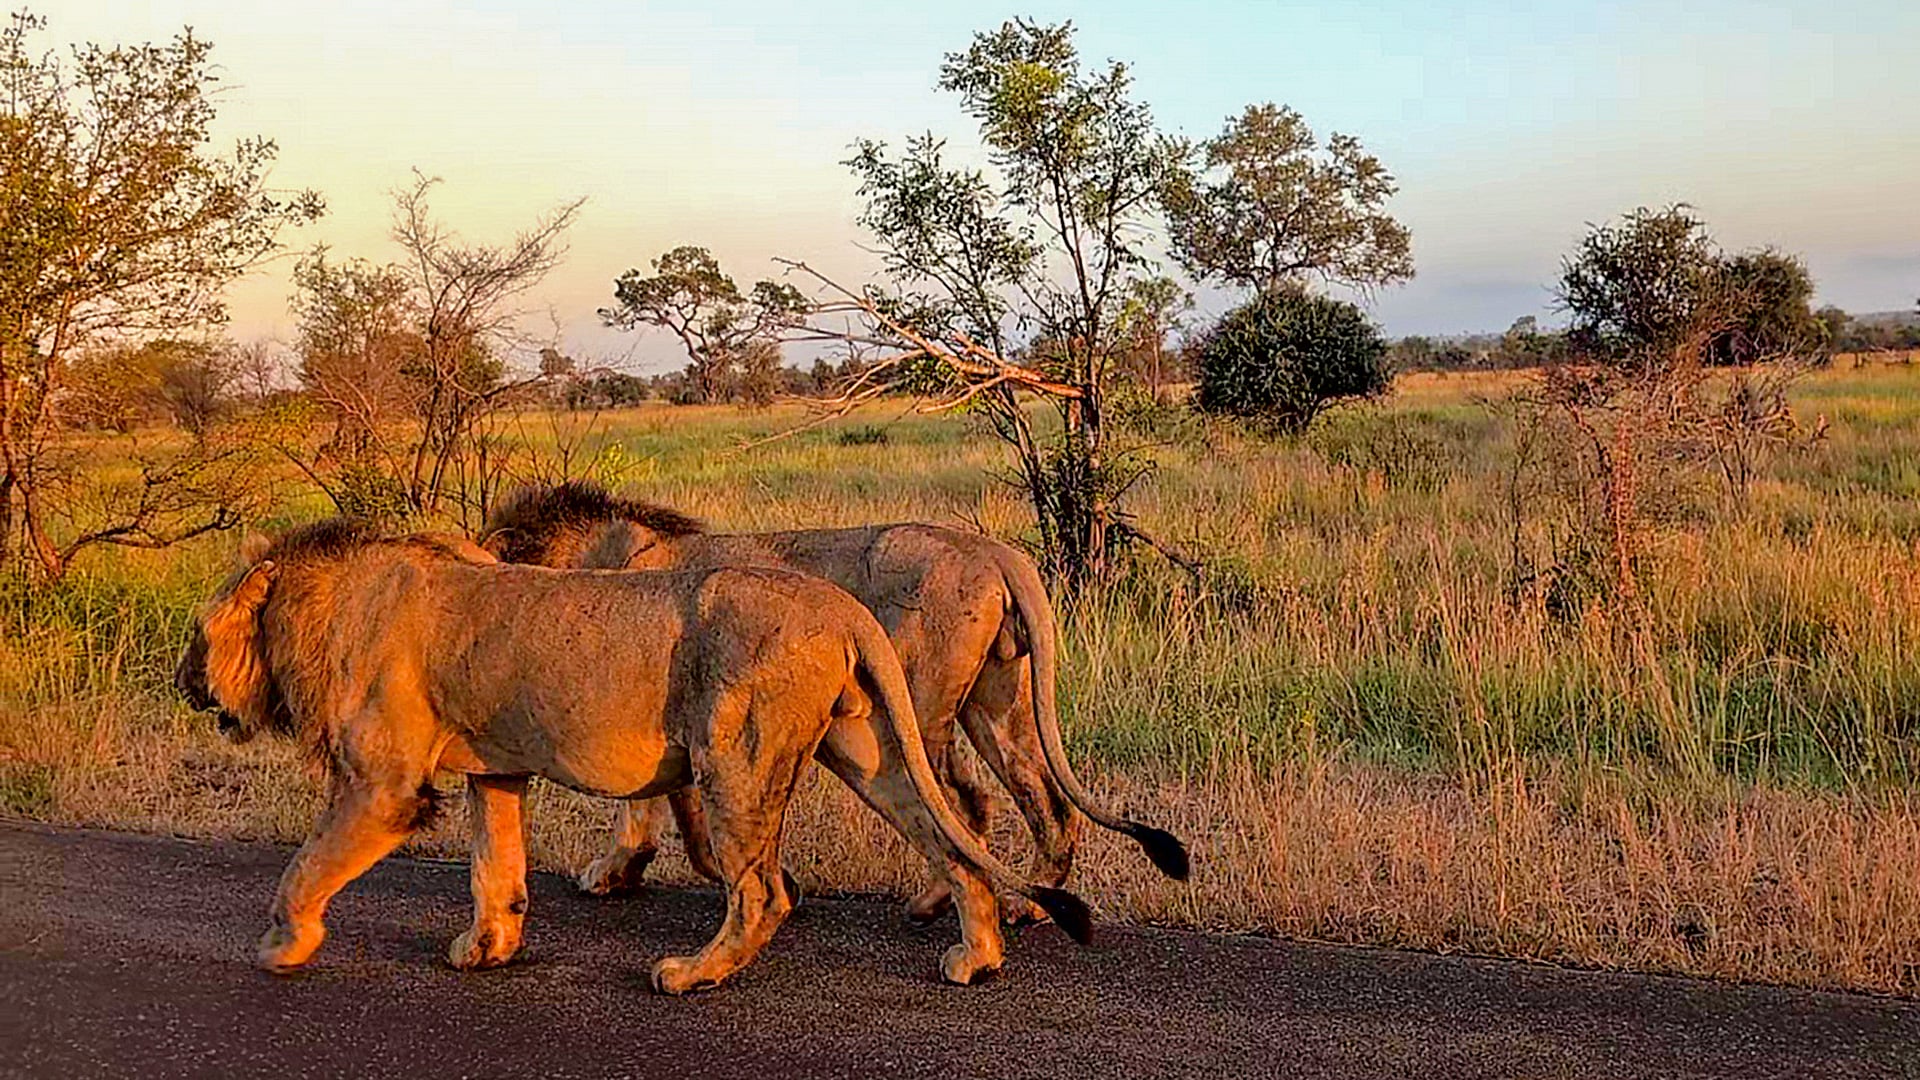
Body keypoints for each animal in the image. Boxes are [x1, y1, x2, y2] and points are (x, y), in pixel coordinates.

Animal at [173, 519, 1090, 993]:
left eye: (194, 636)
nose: (180, 683)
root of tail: (839, 606)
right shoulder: (495, 770)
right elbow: (494, 868)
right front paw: (488, 948)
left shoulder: (383, 786)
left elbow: (303, 867)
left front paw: (281, 945)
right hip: (870, 751)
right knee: (957, 839)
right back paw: (977, 953)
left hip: (739, 754)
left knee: (764, 890)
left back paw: (692, 974)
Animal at [481, 481, 1189, 921]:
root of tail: (994, 551)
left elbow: (646, 813)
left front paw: (614, 873)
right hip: (995, 705)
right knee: (1037, 799)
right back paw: (1023, 907)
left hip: (919, 704)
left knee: (951, 800)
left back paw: (950, 902)